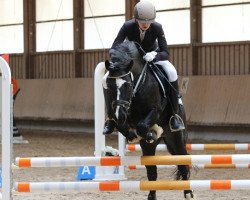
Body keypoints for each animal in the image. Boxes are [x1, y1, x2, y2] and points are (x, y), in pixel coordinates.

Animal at [102, 41, 194, 200]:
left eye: (128, 85)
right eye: (109, 86)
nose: (120, 115)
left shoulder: (155, 110)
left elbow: (142, 126)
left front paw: (151, 132)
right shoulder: (119, 115)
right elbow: (123, 126)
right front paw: (132, 135)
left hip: (176, 137)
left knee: (182, 160)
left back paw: (188, 192)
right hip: (150, 147)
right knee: (152, 170)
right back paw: (152, 195)